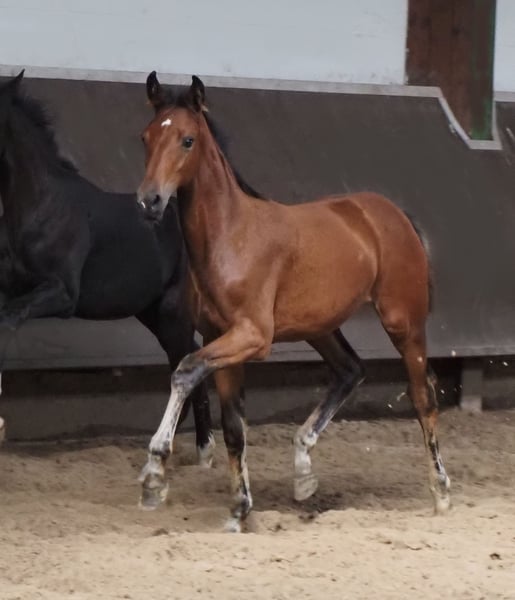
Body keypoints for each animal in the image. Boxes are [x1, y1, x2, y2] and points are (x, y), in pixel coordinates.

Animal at [0, 71, 214, 464]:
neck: (40, 207)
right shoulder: (9, 288)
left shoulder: (61, 294)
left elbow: (8, 319)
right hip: (154, 314)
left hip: (173, 313)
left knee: (189, 361)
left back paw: (202, 450)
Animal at [136, 73, 451, 532]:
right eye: (145, 138)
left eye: (187, 140)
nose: (149, 201)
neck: (231, 238)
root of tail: (392, 214)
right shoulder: (220, 338)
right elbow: (234, 429)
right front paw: (238, 511)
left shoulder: (252, 337)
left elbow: (185, 371)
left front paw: (154, 476)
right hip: (320, 326)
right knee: (350, 371)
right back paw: (303, 470)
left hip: (403, 323)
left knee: (423, 397)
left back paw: (441, 493)